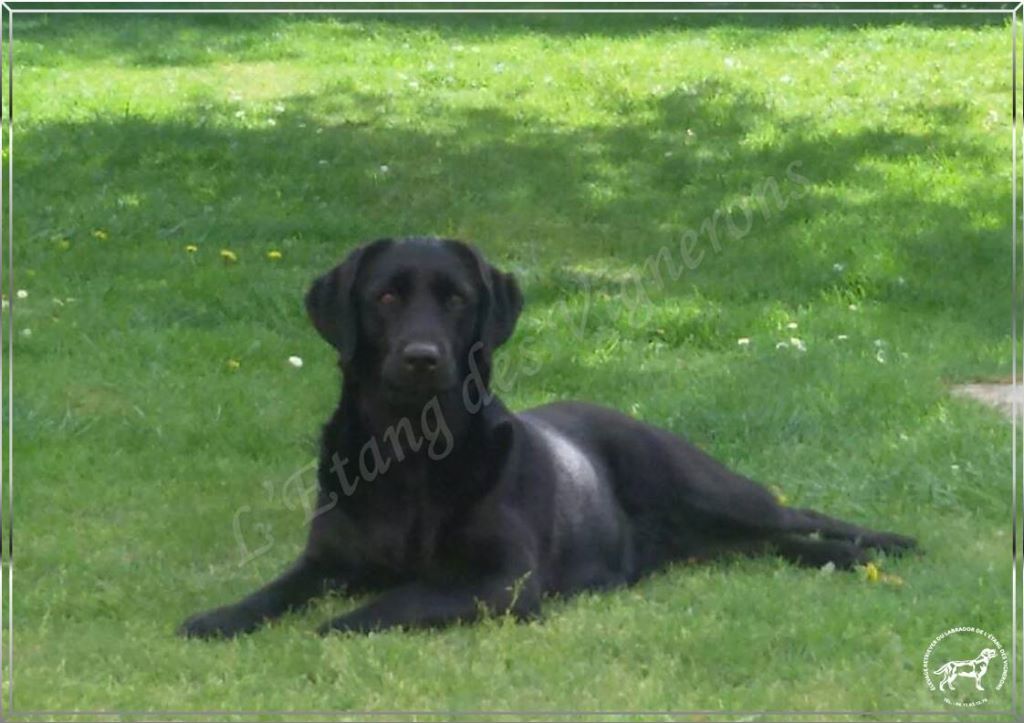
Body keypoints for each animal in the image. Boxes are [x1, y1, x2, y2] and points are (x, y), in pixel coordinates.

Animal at [180, 237, 917, 634]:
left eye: (456, 299)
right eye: (385, 297)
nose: (422, 357)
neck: (409, 455)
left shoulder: (503, 580)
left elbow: (399, 598)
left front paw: (337, 623)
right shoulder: (323, 560)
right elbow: (273, 590)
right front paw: (218, 616)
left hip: (704, 487)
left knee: (797, 512)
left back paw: (882, 544)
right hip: (713, 539)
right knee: (774, 541)